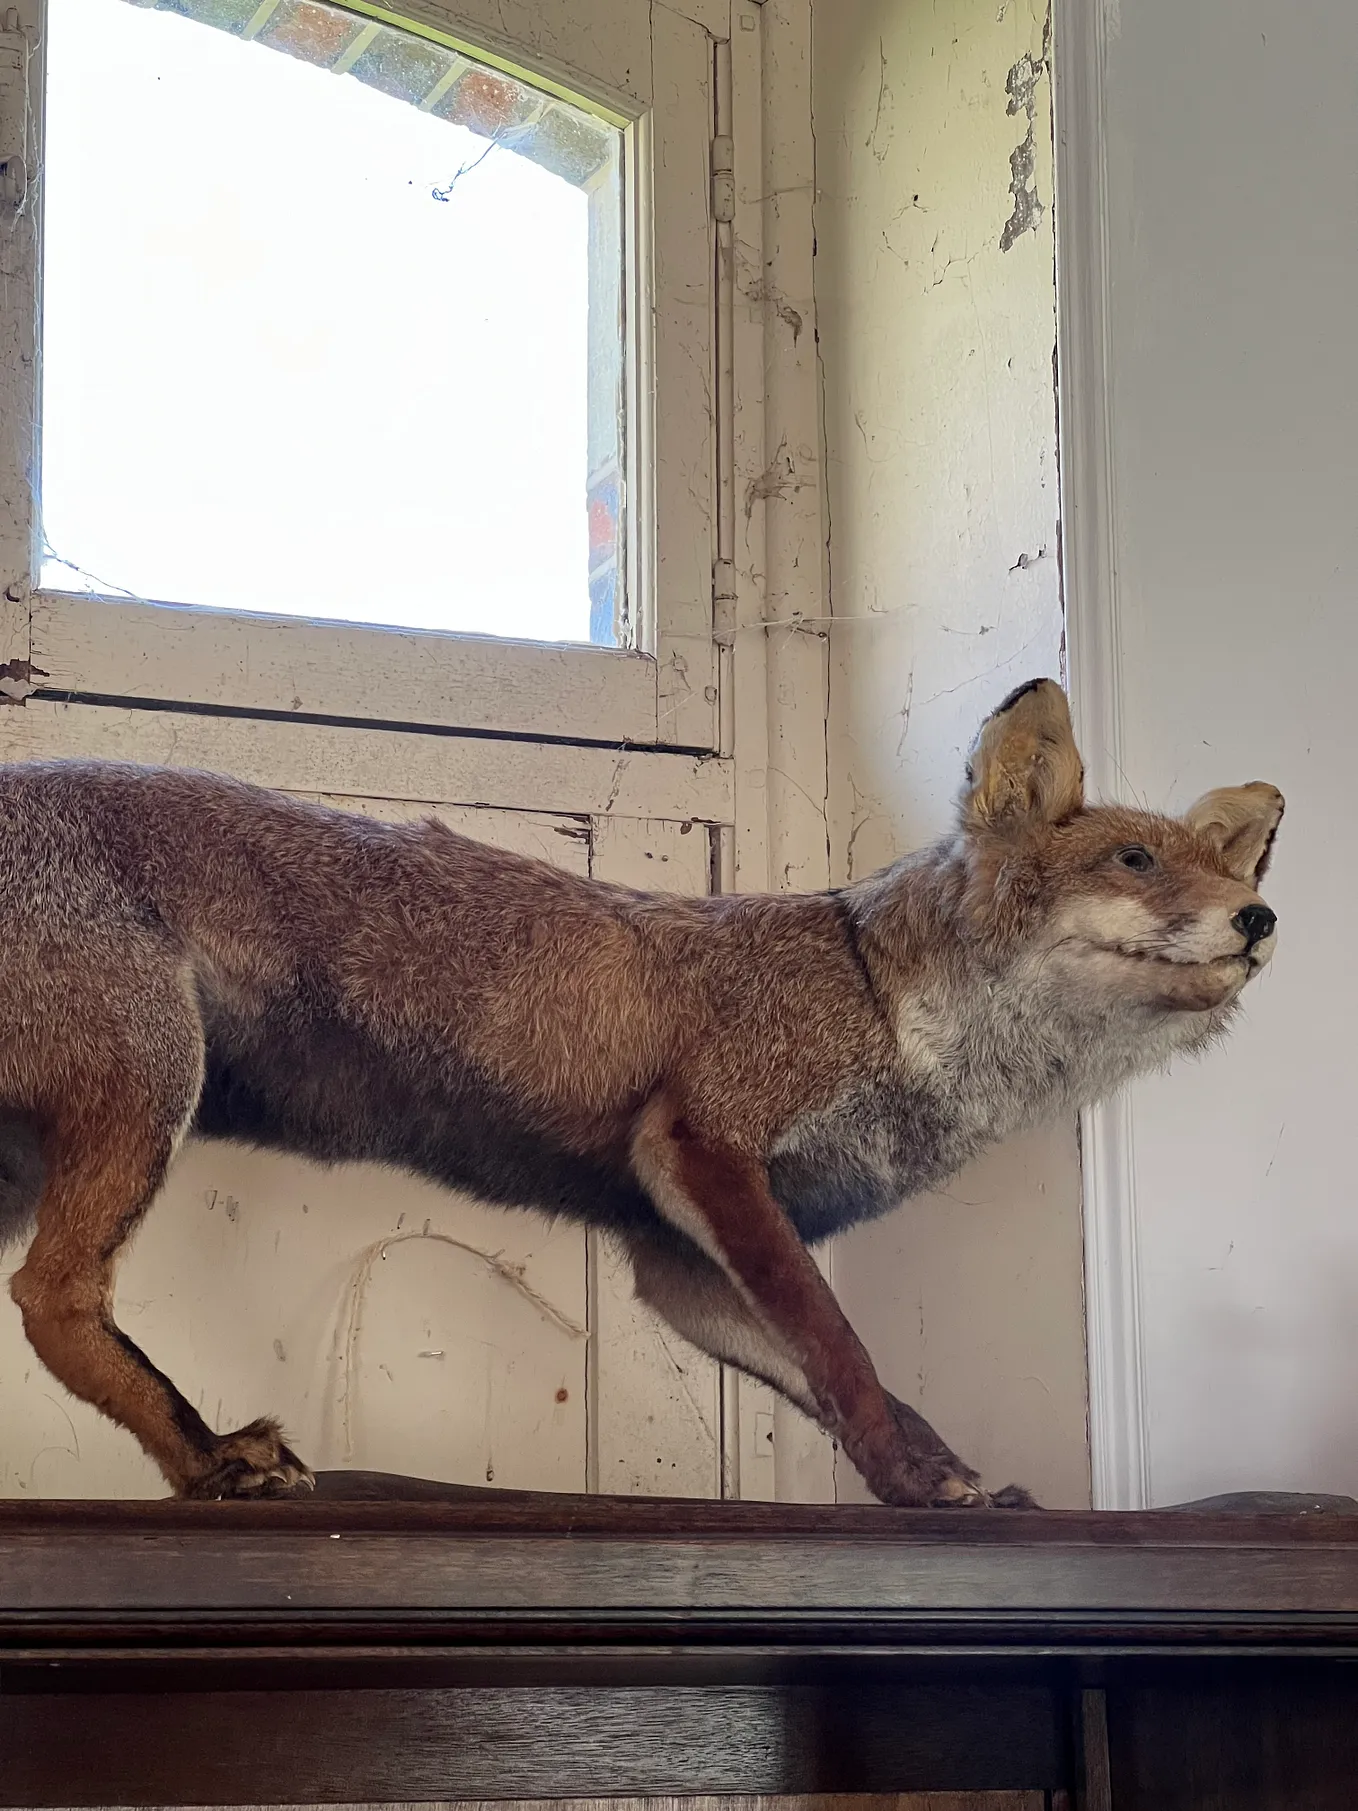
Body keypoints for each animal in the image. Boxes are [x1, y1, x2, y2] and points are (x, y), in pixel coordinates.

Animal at [0, 680, 1289, 1499]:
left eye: (1217, 865)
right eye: (1134, 860)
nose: (1261, 915)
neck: (876, 997)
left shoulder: (675, 1257)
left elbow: (838, 1376)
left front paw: (923, 1476)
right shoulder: (700, 1144)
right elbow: (841, 1346)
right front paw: (913, 1473)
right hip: (153, 1078)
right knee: (51, 1298)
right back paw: (206, 1454)